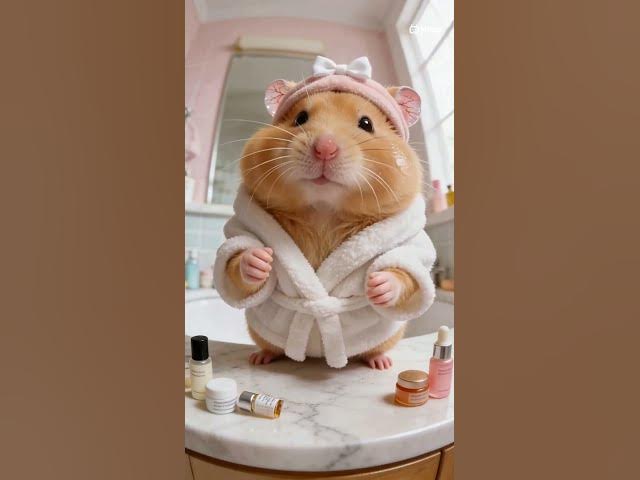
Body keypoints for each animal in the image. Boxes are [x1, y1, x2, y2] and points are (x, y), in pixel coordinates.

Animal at [225, 89, 424, 370]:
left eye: (366, 124)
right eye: (300, 118)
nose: (324, 149)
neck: (323, 209)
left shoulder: (411, 244)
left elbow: (404, 269)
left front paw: (378, 284)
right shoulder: (241, 227)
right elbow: (237, 255)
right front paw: (260, 259)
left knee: (375, 348)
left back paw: (381, 362)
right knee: (268, 346)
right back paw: (260, 357)